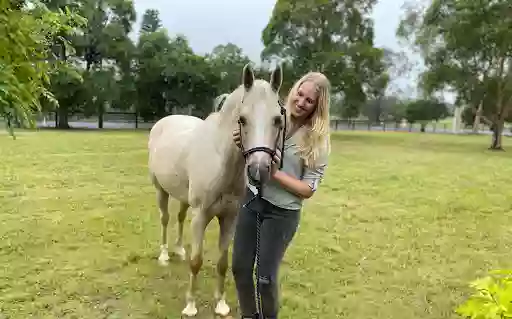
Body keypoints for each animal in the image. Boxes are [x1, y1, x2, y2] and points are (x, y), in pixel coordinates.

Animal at [147, 63, 284, 318]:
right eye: (242, 119)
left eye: (278, 120)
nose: (258, 169)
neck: (222, 160)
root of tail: (164, 122)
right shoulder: (201, 216)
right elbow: (196, 261)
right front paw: (190, 306)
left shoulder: (229, 218)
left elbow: (222, 263)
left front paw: (221, 304)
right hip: (161, 190)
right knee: (165, 218)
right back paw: (164, 255)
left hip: (184, 198)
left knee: (180, 216)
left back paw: (178, 250)